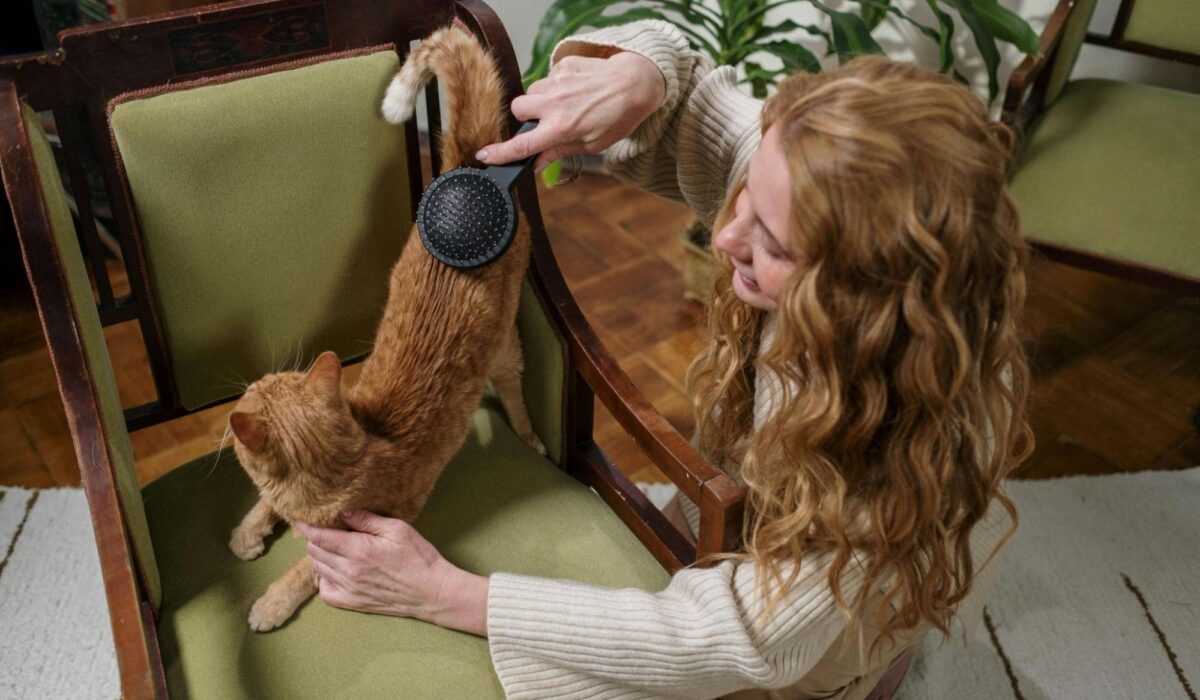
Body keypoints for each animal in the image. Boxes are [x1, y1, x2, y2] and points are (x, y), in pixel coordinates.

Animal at [228, 27, 540, 633]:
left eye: (256, 389)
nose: (248, 383)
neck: (358, 451)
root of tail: (473, 171)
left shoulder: (366, 531)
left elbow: (306, 567)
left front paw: (271, 601)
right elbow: (263, 503)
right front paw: (247, 532)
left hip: (504, 349)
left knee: (515, 391)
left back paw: (531, 435)